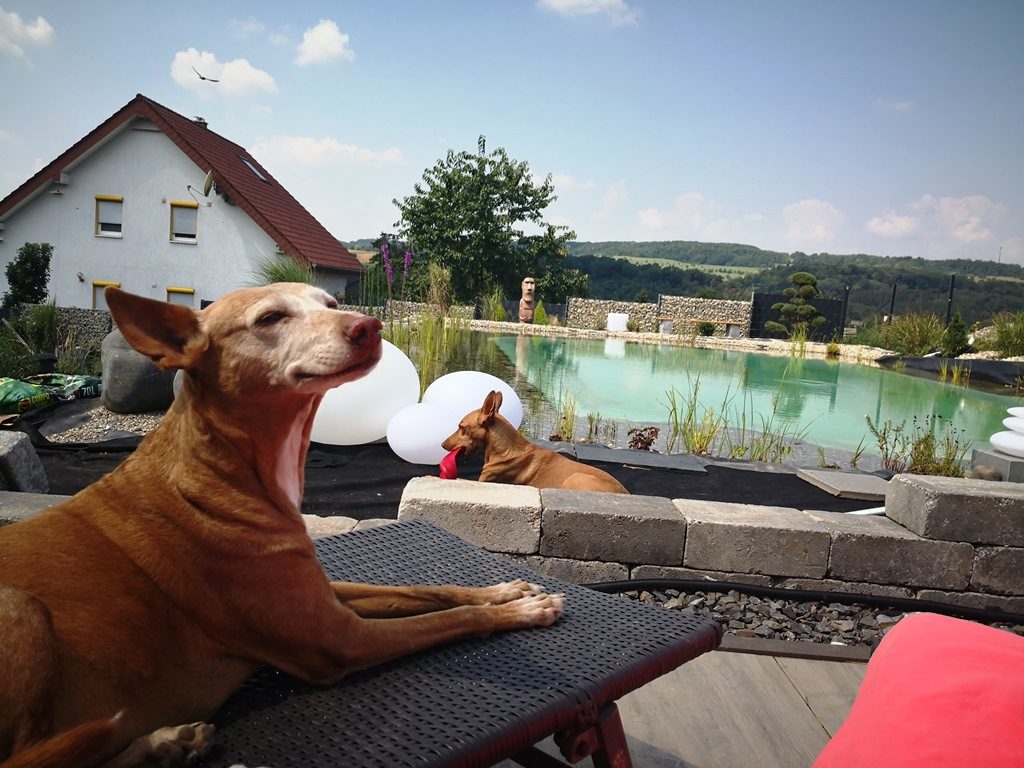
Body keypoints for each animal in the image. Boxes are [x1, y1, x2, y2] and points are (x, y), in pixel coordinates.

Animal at [0, 284, 561, 768]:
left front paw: (506, 590)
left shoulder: (325, 599)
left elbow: (427, 591)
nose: (370, 327)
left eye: (330, 303)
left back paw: (169, 743)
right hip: (21, 608)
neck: (223, 477)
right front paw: (522, 612)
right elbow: (450, 620)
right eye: (269, 318)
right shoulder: (340, 641)